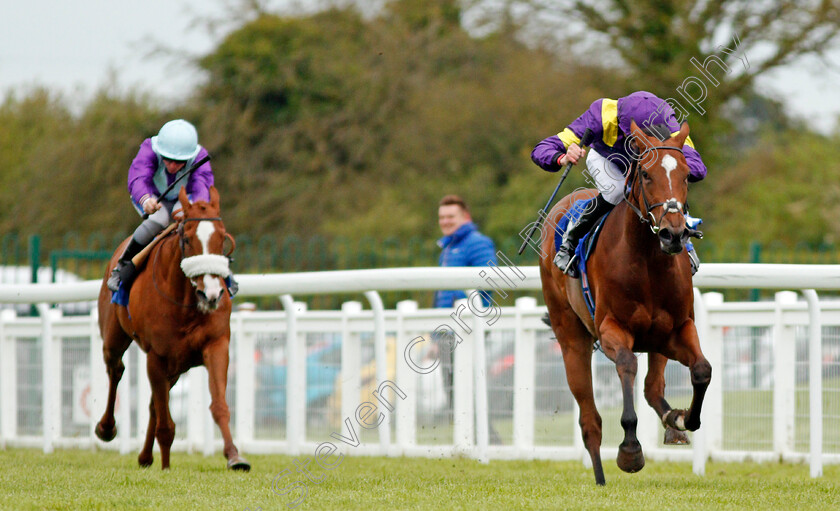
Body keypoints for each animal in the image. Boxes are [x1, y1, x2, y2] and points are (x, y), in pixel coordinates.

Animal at [94, 187, 248, 472]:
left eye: (222, 238)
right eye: (187, 239)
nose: (212, 294)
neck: (186, 303)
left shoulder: (216, 344)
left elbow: (219, 405)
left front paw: (235, 456)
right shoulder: (156, 356)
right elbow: (165, 423)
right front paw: (166, 468)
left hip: (176, 366)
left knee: (154, 403)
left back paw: (146, 456)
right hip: (114, 338)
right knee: (116, 370)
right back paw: (107, 428)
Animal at [540, 121, 712, 488]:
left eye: (686, 175)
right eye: (646, 175)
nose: (673, 234)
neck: (647, 261)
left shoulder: (676, 329)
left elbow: (702, 370)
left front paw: (683, 418)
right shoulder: (611, 330)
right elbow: (627, 365)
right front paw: (631, 450)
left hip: (657, 341)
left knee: (651, 388)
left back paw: (672, 421)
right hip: (571, 338)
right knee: (590, 420)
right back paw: (600, 477)